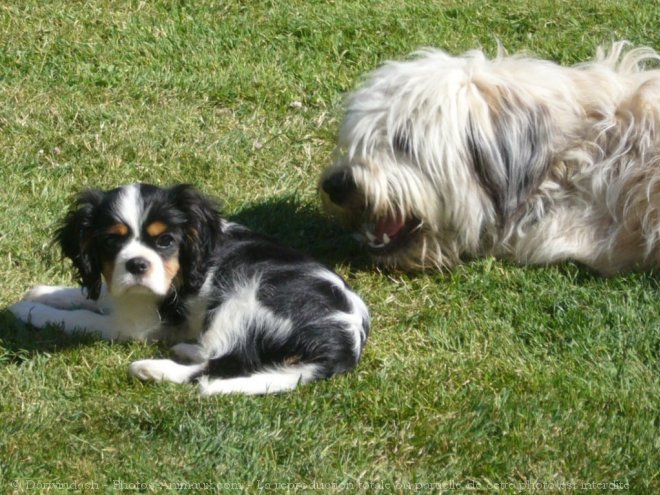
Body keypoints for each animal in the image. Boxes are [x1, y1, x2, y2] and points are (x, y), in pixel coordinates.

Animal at [9, 184, 372, 398]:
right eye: (112, 241)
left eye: (165, 241)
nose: (137, 264)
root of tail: (345, 343)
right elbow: (92, 295)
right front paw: (43, 292)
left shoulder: (136, 324)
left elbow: (83, 319)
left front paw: (31, 311)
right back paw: (186, 347)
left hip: (244, 297)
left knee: (218, 365)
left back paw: (154, 368)